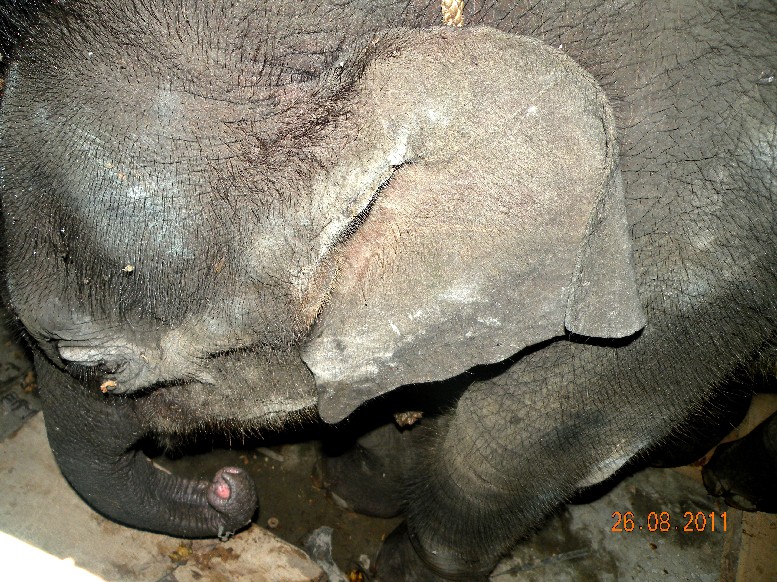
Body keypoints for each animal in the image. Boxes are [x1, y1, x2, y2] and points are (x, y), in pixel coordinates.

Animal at [0, 0, 775, 579]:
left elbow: (515, 439)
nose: (229, 486)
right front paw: (367, 480)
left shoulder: (678, 274)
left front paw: (399, 561)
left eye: (93, 366)